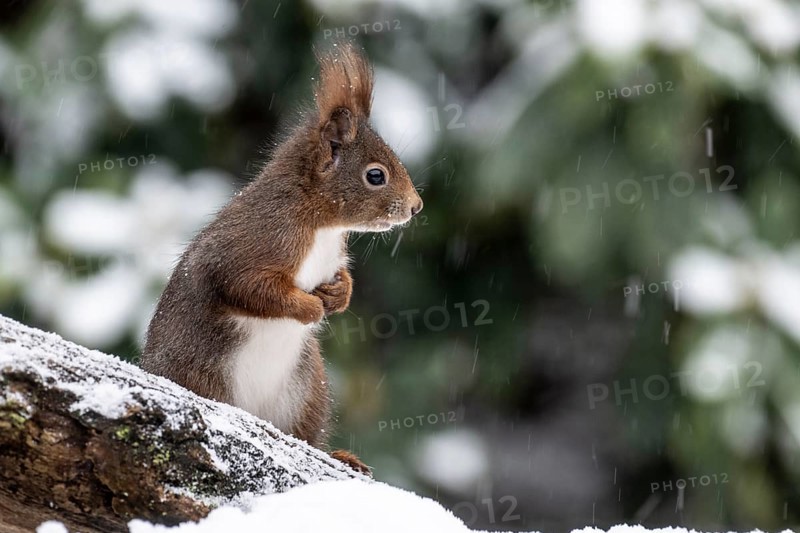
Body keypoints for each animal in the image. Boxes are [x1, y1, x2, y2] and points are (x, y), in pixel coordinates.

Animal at [141, 43, 422, 475]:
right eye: (376, 176)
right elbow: (250, 288)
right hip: (201, 373)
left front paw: (338, 295)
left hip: (308, 392)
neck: (320, 223)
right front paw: (309, 308)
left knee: (306, 438)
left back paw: (340, 457)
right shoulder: (257, 245)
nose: (415, 206)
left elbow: (342, 277)